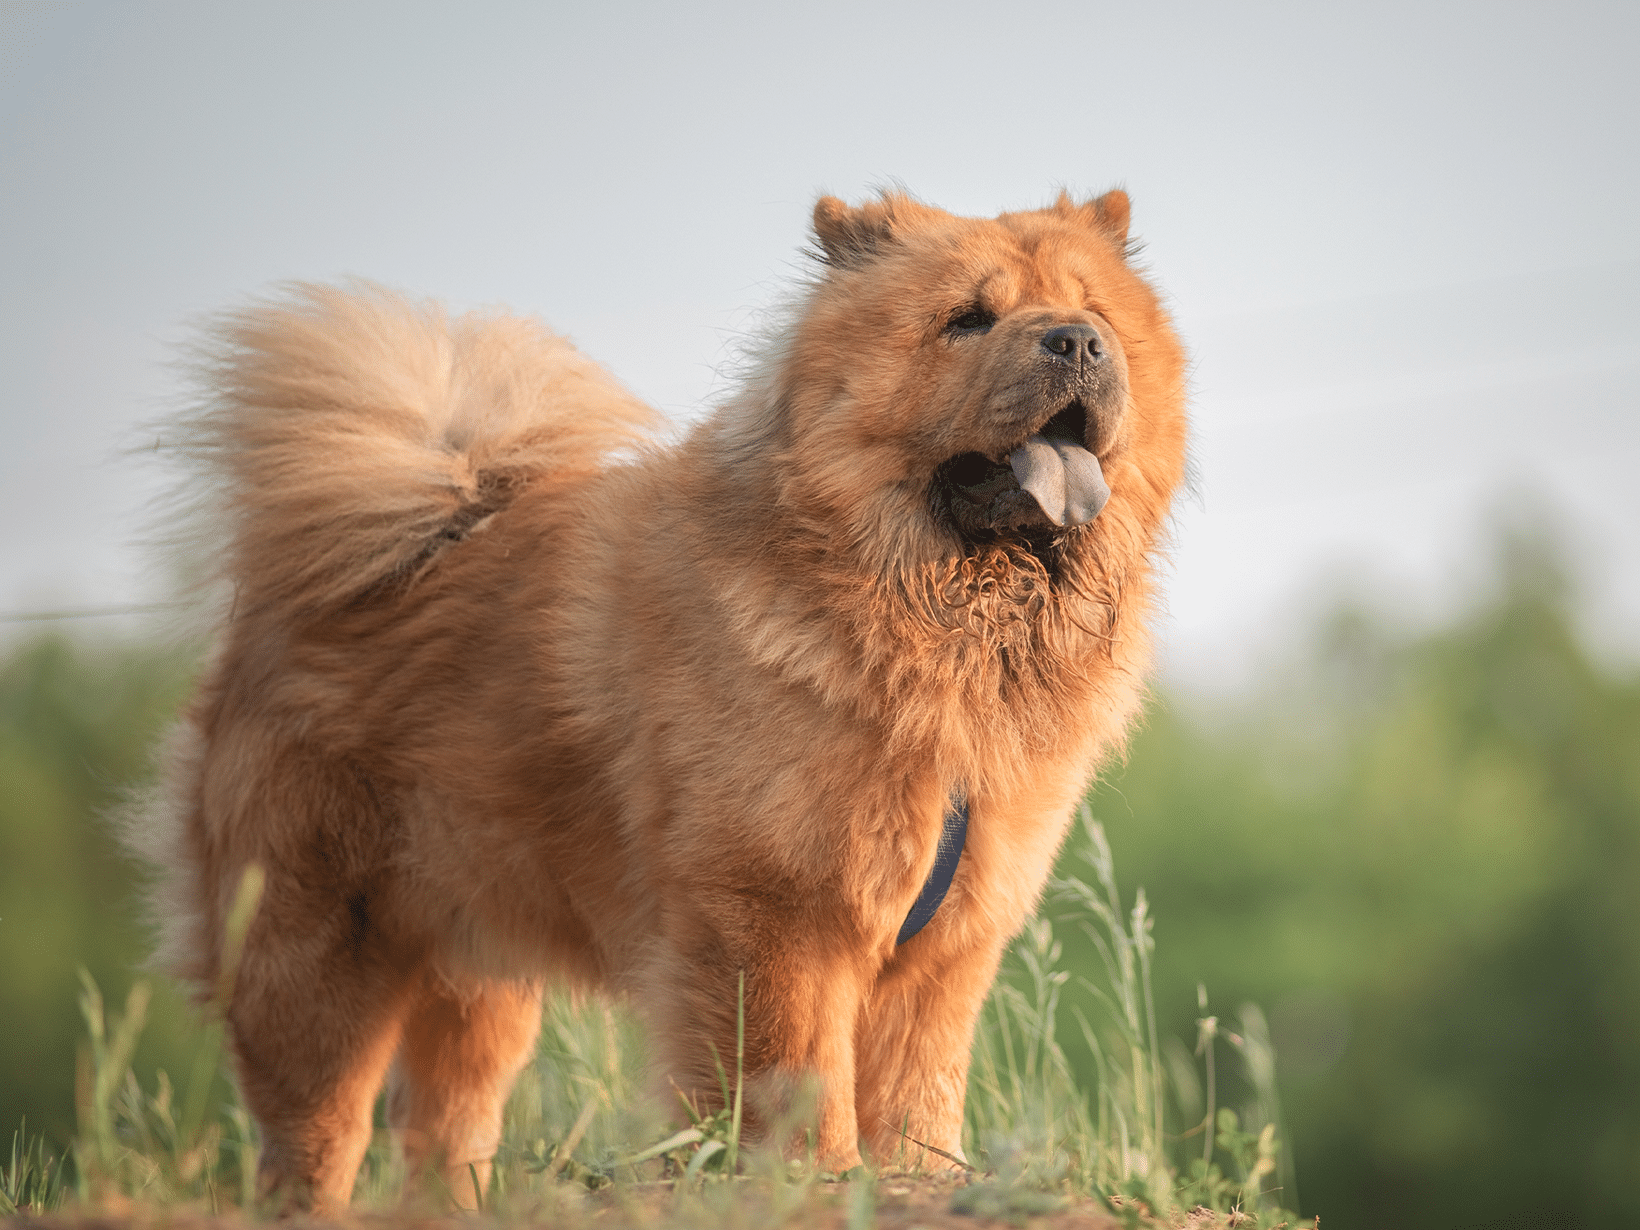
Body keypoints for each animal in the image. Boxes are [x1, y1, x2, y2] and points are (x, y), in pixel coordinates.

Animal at [121, 192, 1187, 1213]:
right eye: (968, 320)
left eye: (1094, 316)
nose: (1076, 343)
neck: (938, 621)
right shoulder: (775, 915)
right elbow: (798, 1075)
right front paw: (812, 1181)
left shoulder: (948, 943)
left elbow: (918, 1088)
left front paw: (925, 1185)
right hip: (313, 950)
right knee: (315, 1132)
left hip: (478, 967)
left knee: (445, 1127)